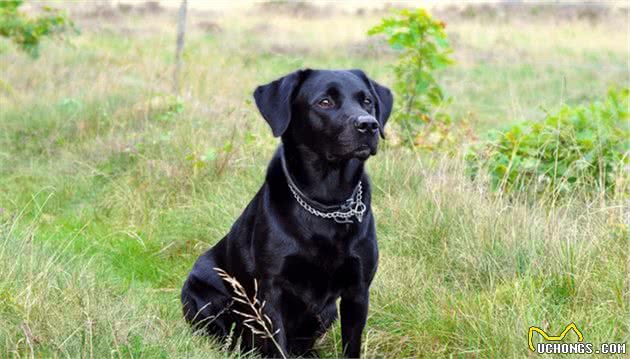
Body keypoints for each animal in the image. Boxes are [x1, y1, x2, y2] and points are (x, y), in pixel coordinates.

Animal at [180, 69, 392, 358]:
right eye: (325, 102)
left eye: (367, 101)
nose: (368, 125)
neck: (327, 203)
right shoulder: (272, 291)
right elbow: (277, 345)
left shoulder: (357, 291)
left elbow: (352, 346)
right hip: (201, 294)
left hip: (327, 312)